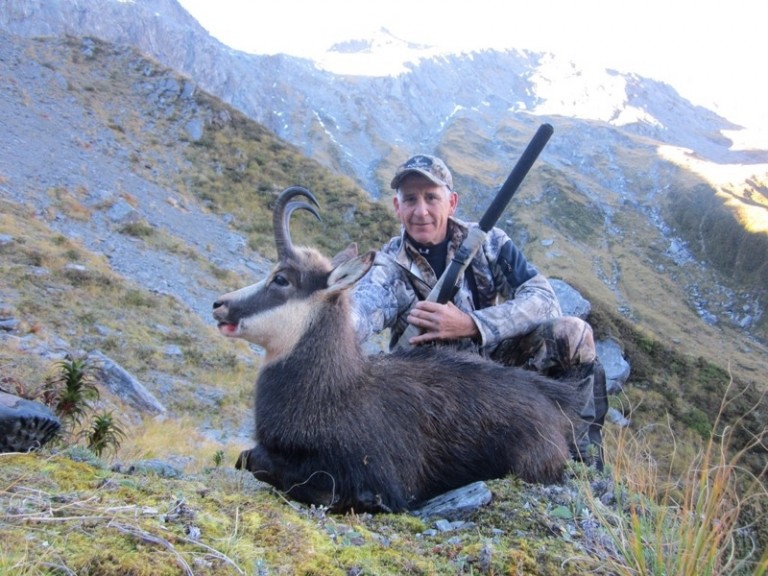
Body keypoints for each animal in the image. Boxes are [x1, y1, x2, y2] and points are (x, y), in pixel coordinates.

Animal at [212, 186, 587, 513]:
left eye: (281, 279)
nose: (219, 305)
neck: (334, 390)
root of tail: (556, 402)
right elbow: (247, 457)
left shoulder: (380, 480)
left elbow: (257, 460)